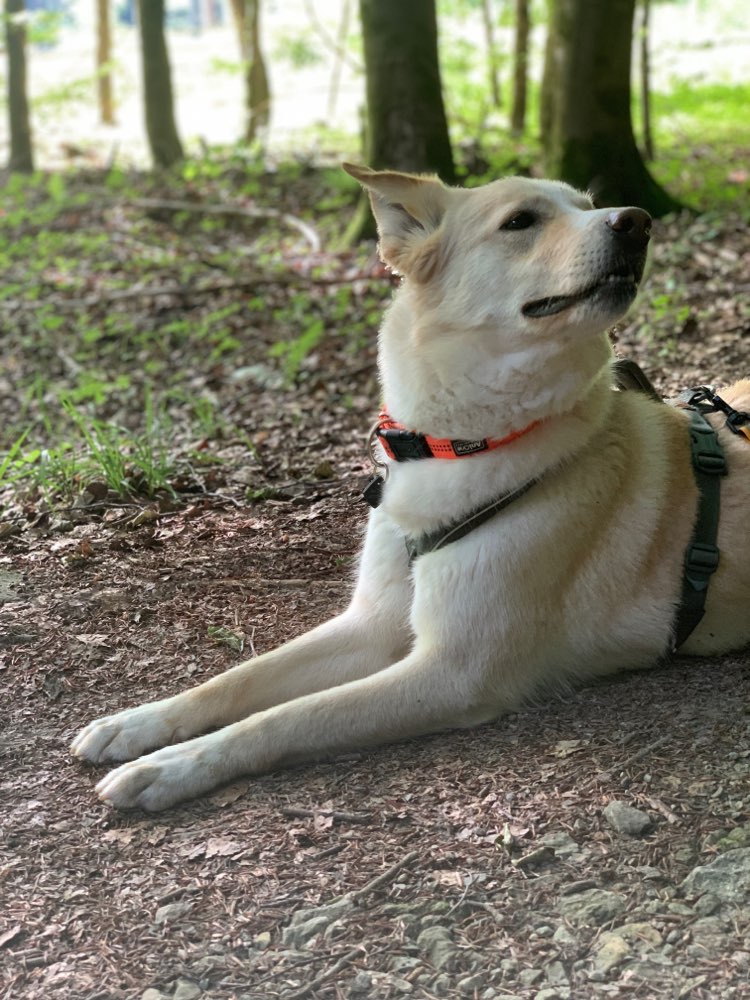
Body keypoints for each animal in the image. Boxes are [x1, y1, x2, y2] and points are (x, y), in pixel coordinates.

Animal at [70, 162, 750, 804]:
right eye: (521, 221)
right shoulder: (371, 623)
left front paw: (170, 767)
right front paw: (138, 724)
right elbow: (241, 678)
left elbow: (287, 717)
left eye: (587, 206)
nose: (637, 221)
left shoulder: (452, 672)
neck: (455, 445)